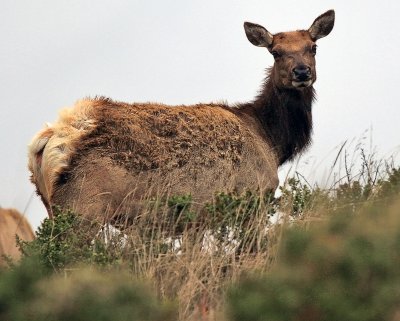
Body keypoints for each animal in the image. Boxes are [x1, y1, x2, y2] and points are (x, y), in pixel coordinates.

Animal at [27, 9, 334, 220]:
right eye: (275, 52)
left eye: (313, 47)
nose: (302, 72)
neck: (271, 140)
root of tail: (49, 137)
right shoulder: (253, 194)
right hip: (84, 205)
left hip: (53, 206)